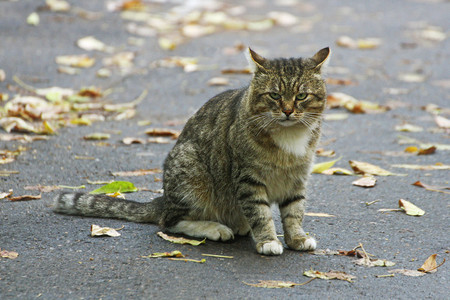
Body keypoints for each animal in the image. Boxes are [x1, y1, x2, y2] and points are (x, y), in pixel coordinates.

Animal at [55, 47, 330, 255]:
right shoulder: (248, 179)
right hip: (192, 173)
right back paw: (215, 228)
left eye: (301, 96)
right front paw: (268, 240)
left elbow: (295, 211)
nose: (287, 111)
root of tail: (163, 199)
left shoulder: (297, 178)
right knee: (170, 221)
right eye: (274, 95)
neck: (288, 137)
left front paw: (296, 238)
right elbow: (261, 214)